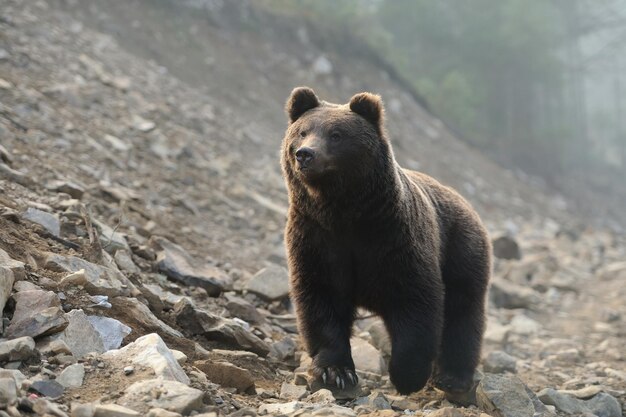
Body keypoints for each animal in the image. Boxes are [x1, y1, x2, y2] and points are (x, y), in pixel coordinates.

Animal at [280, 87, 490, 394]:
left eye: (336, 134)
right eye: (302, 131)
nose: (305, 154)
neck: (343, 212)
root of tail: (464, 201)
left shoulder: (394, 240)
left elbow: (415, 302)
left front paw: (408, 375)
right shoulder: (317, 239)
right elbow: (321, 299)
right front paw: (336, 371)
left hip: (461, 248)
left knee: (463, 312)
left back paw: (453, 376)